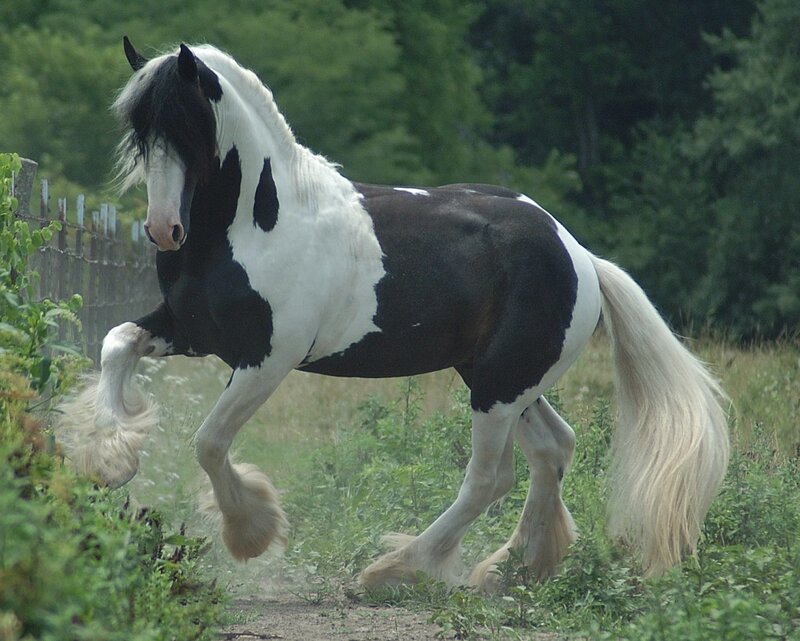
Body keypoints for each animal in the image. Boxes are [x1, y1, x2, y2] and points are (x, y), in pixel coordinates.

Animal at [56, 38, 729, 591]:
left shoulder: (266, 359)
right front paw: (108, 458)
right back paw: (511, 569)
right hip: (503, 378)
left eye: (190, 123)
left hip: (499, 388)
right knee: (552, 450)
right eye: (138, 128)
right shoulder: (190, 331)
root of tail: (580, 255)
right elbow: (116, 342)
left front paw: (252, 531)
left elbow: (210, 442)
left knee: (490, 477)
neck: (258, 222)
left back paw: (397, 569)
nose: (164, 230)